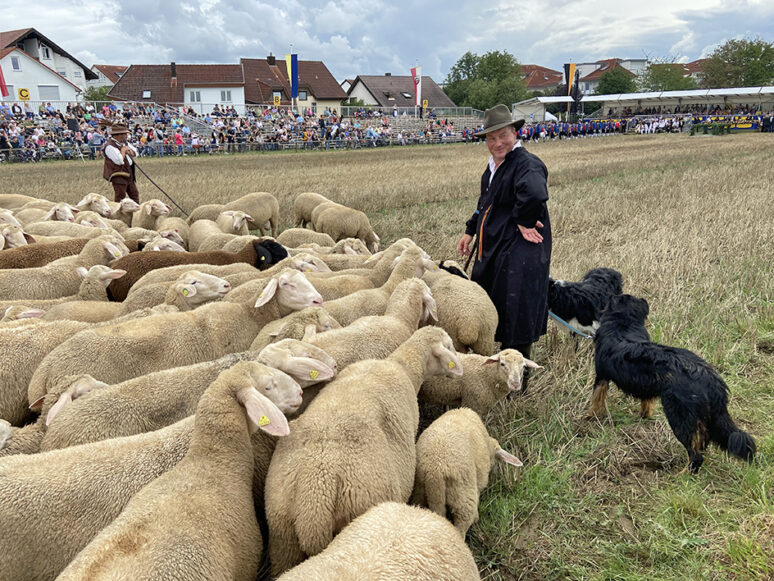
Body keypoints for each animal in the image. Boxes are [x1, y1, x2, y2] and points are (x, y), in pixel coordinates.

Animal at [592, 292, 756, 474]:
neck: (623, 324)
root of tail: (712, 379)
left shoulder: (601, 377)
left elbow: (596, 400)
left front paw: (592, 418)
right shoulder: (647, 387)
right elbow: (646, 403)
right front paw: (644, 417)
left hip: (679, 416)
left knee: (695, 454)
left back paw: (683, 474)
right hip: (703, 418)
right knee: (702, 442)